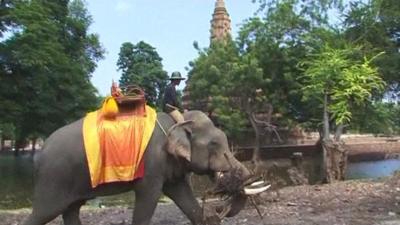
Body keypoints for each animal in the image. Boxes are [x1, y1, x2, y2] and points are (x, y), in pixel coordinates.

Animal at [23, 110, 264, 225]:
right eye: (214, 144)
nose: (218, 208)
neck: (178, 120)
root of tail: (39, 152)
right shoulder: (152, 164)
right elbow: (149, 196)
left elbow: (182, 194)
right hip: (54, 179)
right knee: (44, 213)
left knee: (71, 211)